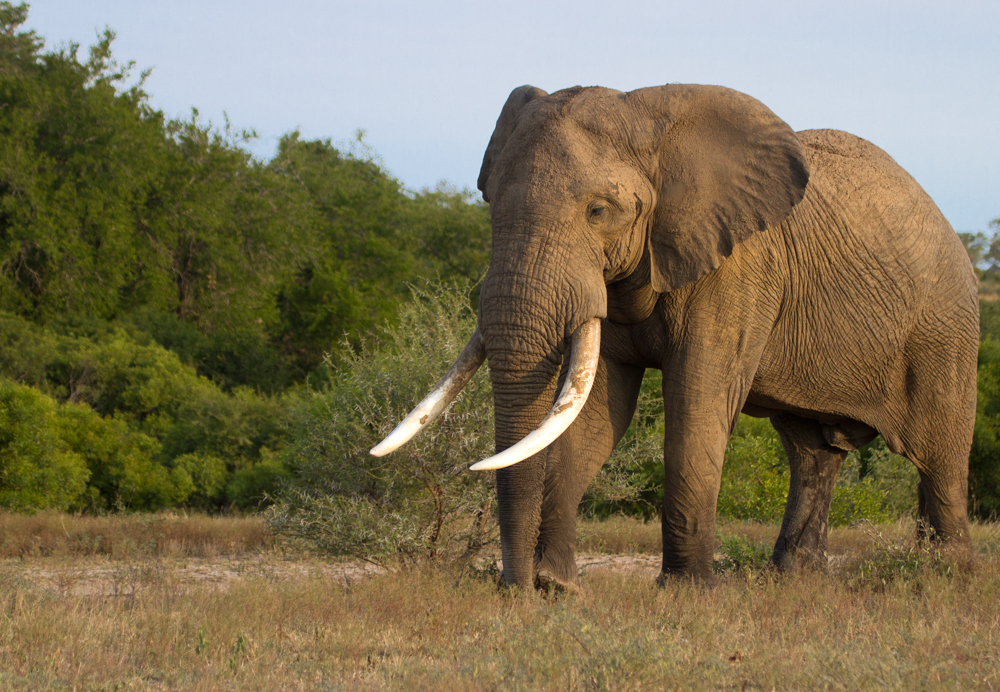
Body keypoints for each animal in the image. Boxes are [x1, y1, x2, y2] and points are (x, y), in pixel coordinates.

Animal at [372, 82, 980, 588]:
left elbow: (696, 407)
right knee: (812, 455)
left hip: (945, 327)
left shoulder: (737, 270)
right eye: (490, 207)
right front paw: (558, 588)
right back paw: (792, 582)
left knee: (942, 456)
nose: (511, 588)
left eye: (599, 211)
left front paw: (687, 594)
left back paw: (943, 580)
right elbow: (598, 414)